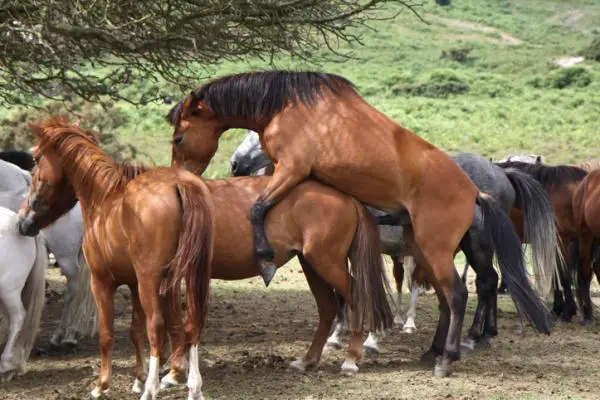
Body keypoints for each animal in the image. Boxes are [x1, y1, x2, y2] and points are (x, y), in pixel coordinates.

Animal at [15, 117, 394, 398]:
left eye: (35, 160)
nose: (24, 221)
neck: (111, 201)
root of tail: (343, 194)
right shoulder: (143, 281)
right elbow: (151, 329)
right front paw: (159, 376)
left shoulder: (107, 281)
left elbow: (120, 332)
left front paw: (108, 385)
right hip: (311, 264)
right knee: (328, 308)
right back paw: (308, 361)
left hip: (326, 264)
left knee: (355, 298)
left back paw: (352, 357)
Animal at [166, 70, 552, 376]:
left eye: (179, 137)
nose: (234, 165)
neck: (291, 108)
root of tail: (474, 191)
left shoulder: (291, 169)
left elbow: (258, 209)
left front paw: (265, 257)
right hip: (430, 248)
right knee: (456, 294)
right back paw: (437, 350)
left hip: (440, 249)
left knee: (461, 293)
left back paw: (449, 357)